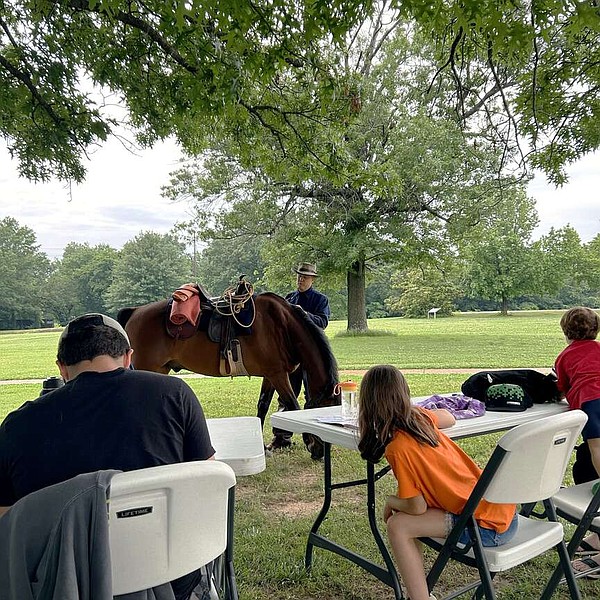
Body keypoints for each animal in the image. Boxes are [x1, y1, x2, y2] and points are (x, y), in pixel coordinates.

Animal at [116, 292, 340, 460]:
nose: (321, 451)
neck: (281, 325)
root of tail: (135, 312)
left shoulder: (271, 375)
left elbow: (263, 406)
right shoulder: (278, 375)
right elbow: (293, 406)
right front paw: (307, 441)